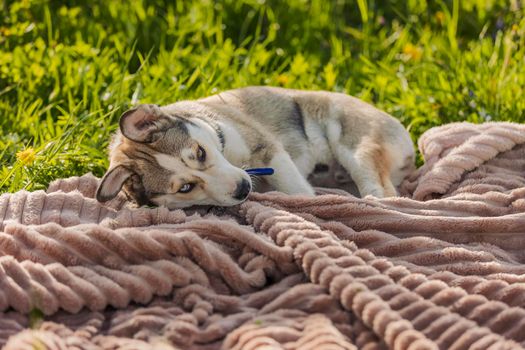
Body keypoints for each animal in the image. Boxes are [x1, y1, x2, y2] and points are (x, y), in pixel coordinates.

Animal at [95, 87, 414, 208]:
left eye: (200, 152)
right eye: (185, 188)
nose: (242, 189)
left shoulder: (267, 148)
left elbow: (295, 188)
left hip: (356, 147)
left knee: (383, 189)